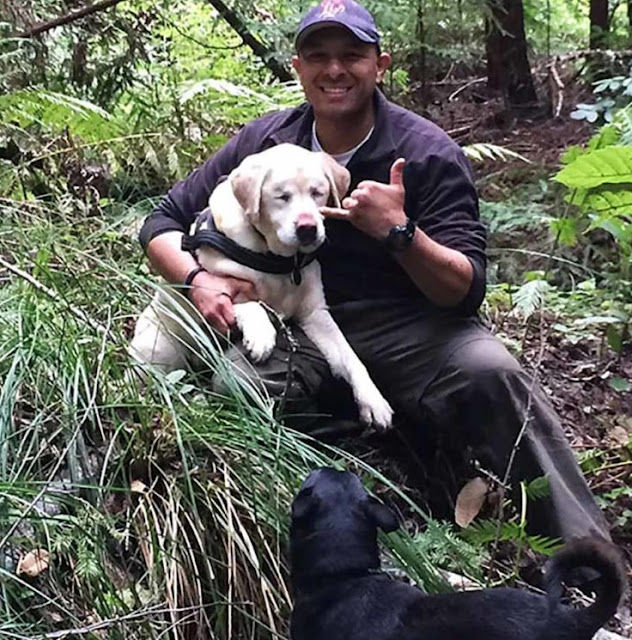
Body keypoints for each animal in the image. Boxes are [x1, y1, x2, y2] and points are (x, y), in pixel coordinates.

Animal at [130, 144, 393, 429]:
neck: (281, 260)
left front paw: (373, 400)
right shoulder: (216, 285)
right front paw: (261, 335)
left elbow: (350, 357)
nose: (308, 228)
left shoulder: (315, 314)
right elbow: (248, 302)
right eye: (282, 196)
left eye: (317, 193)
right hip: (157, 348)